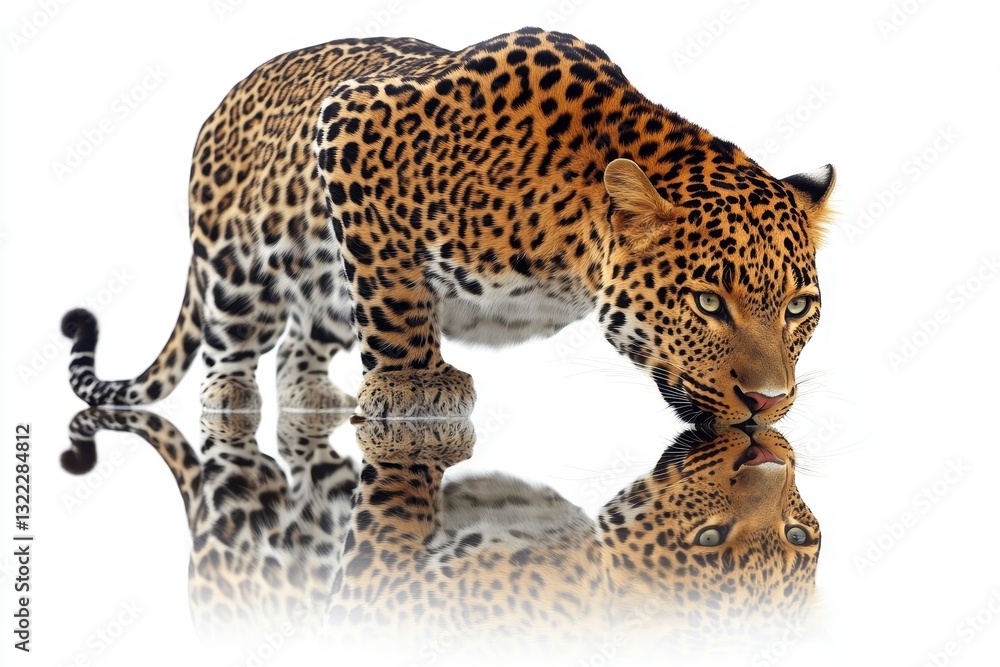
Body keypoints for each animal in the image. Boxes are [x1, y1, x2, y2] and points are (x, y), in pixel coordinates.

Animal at [61, 27, 835, 424]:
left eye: (799, 308)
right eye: (707, 302)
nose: (770, 403)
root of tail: (223, 100)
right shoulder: (351, 129)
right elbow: (400, 300)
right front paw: (413, 384)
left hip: (327, 289)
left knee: (300, 347)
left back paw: (312, 398)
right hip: (240, 269)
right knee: (231, 347)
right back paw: (232, 402)